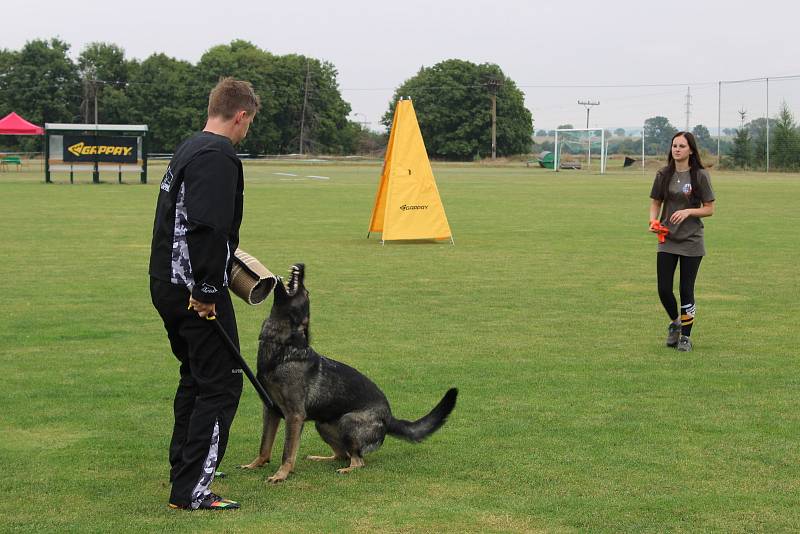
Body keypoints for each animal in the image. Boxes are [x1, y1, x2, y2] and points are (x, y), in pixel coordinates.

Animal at [239, 266, 456, 484]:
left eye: (306, 293)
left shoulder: (294, 416)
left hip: (347, 422)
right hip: (322, 424)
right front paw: (255, 464)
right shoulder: (271, 411)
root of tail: (389, 417)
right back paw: (321, 458)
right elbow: (264, 445)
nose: (302, 267)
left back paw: (346, 469)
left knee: (358, 461)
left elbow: (287, 451)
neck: (281, 346)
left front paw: (281, 474)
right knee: (342, 454)